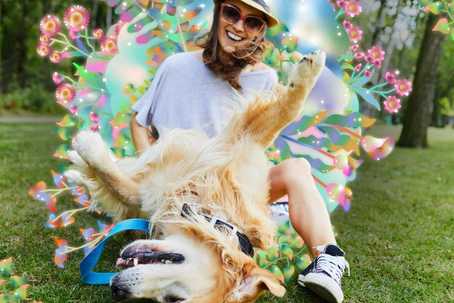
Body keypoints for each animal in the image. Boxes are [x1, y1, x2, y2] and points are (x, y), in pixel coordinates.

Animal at [64, 51, 326, 302]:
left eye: (171, 298)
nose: (117, 289)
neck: (208, 208)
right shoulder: (238, 142)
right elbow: (286, 112)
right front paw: (310, 69)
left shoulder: (146, 197)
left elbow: (119, 187)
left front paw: (88, 151)